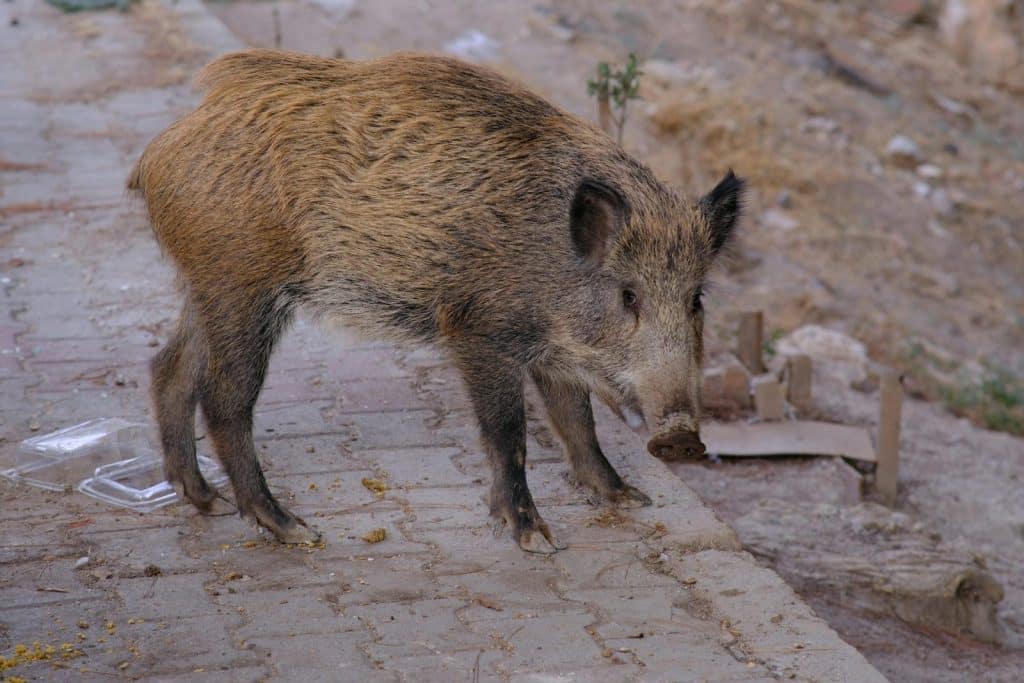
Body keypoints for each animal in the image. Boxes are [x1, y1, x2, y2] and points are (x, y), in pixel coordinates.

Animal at [128, 50, 743, 554]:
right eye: (628, 294)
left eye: (695, 299)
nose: (682, 437)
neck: (551, 259)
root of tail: (157, 153)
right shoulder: (479, 331)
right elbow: (509, 431)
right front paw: (536, 539)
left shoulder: (553, 351)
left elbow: (578, 422)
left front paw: (628, 498)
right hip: (243, 291)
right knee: (223, 400)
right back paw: (294, 529)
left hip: (206, 287)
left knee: (168, 368)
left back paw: (204, 500)